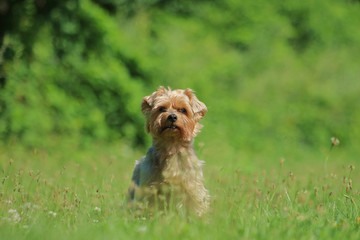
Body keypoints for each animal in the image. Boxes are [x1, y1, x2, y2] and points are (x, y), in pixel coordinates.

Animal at [129, 86, 210, 216]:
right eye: (162, 108)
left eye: (183, 110)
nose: (172, 116)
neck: (172, 146)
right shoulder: (150, 188)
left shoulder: (192, 188)